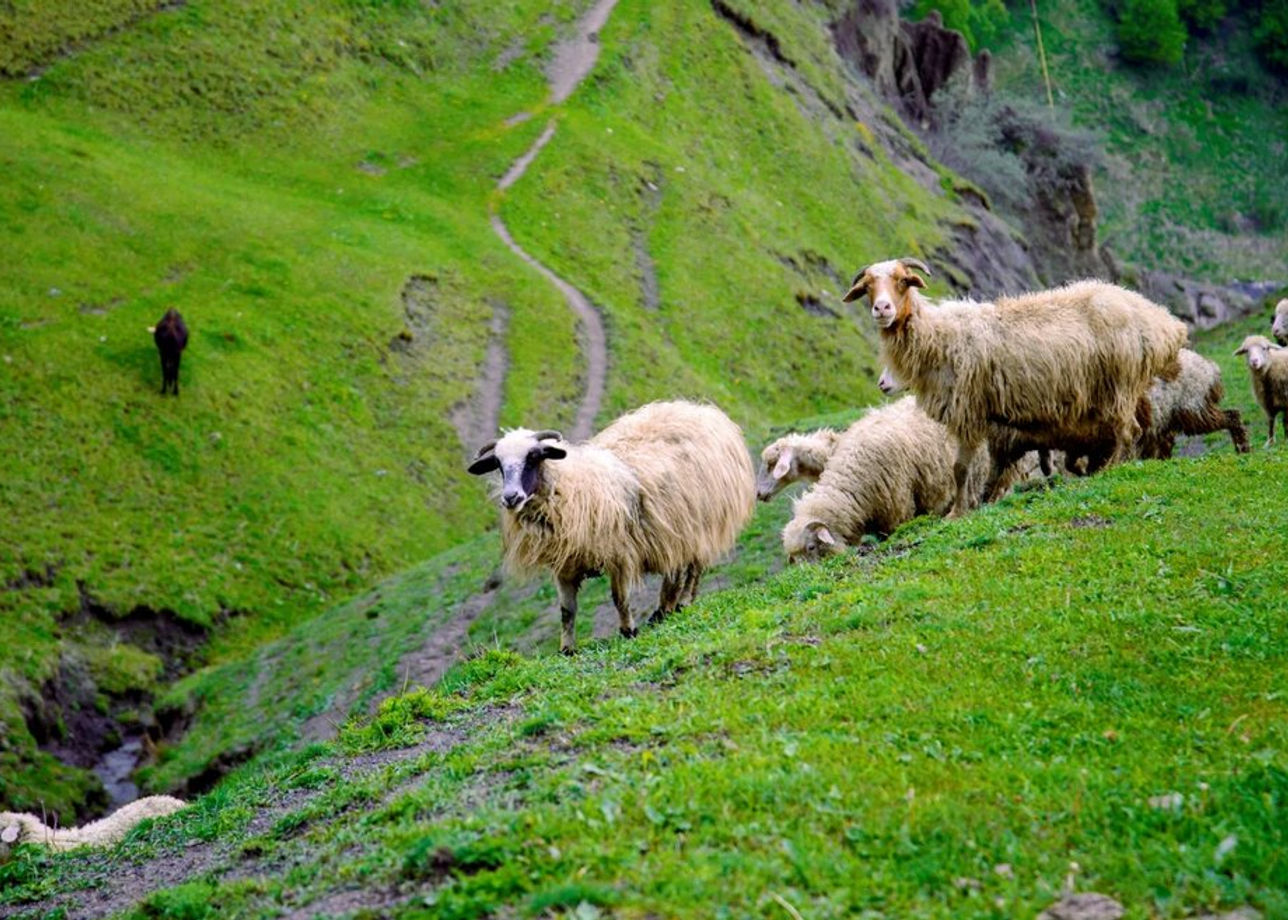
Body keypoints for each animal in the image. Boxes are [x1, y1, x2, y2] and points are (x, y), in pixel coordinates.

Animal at [471, 396, 752, 649]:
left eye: (533, 457)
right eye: (498, 465)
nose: (510, 497)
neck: (573, 486)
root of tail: (701, 411)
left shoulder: (620, 555)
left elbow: (620, 599)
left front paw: (628, 631)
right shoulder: (564, 566)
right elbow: (566, 610)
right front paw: (567, 649)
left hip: (704, 524)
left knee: (694, 568)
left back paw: (680, 602)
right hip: (676, 529)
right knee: (676, 570)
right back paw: (664, 609)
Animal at [844, 257, 1184, 515]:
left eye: (902, 280)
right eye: (867, 287)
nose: (882, 309)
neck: (938, 336)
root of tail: (1165, 323)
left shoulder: (968, 410)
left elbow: (960, 469)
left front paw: (957, 512)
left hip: (1120, 384)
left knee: (1128, 431)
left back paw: (1107, 470)